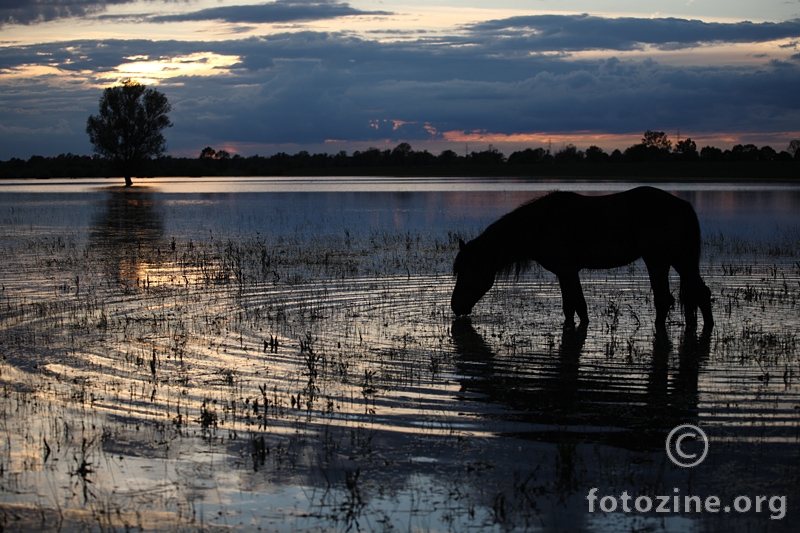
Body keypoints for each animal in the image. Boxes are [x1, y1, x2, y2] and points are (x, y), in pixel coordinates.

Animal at [454, 185, 716, 330]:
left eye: (467, 270)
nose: (455, 306)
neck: (541, 224)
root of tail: (683, 206)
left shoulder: (568, 270)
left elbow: (579, 306)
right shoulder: (564, 272)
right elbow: (569, 307)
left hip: (658, 260)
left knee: (663, 300)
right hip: (682, 261)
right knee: (700, 294)